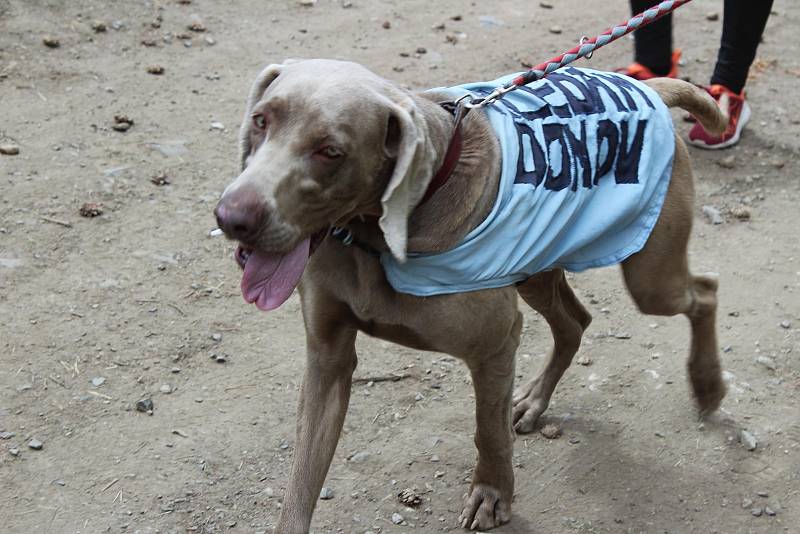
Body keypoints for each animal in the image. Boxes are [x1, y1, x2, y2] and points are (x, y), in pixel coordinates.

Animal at [216, 58, 728, 532]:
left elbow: (488, 430)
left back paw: (707, 384)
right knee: (575, 322)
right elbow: (302, 479)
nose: (232, 217)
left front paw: (492, 494)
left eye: (330, 151)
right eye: (261, 120)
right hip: (535, 264)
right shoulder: (327, 358)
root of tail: (647, 86)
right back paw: (535, 400)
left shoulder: (493, 345)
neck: (377, 235)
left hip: (650, 278)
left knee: (703, 292)